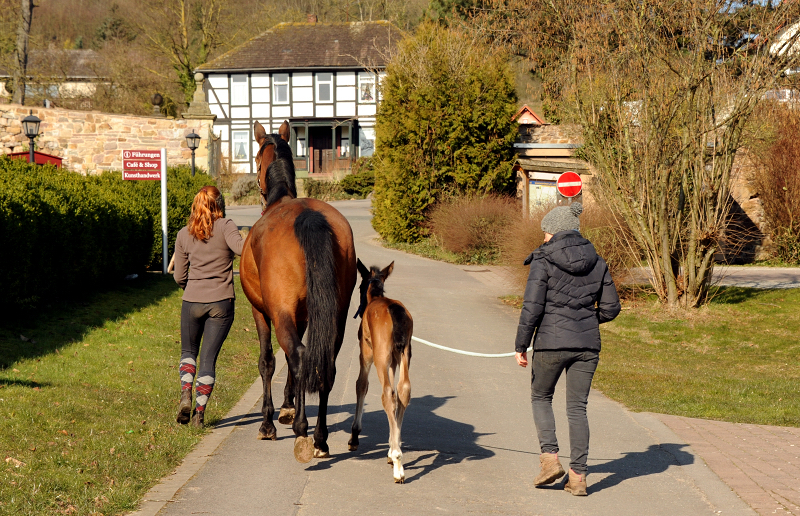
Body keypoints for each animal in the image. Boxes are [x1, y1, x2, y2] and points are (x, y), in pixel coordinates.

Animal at [239, 121, 358, 464]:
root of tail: (309, 215)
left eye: (256, 158)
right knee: (323, 363)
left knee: (300, 356)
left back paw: (303, 432)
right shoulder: (303, 316)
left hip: (279, 314)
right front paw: (288, 407)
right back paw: (319, 438)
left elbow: (268, 361)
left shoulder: (262, 312)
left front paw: (269, 422)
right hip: (336, 314)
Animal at [348, 260, 412, 482]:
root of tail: (394, 310)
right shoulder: (393, 360)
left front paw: (354, 436)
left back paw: (398, 462)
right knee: (402, 390)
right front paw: (391, 446)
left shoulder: (365, 352)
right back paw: (395, 453)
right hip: (403, 353)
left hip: (379, 355)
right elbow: (396, 393)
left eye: (359, 286)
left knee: (386, 394)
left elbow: (361, 385)